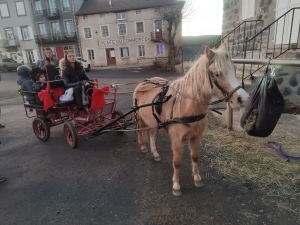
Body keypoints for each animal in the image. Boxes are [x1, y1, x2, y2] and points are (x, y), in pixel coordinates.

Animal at [134, 43, 248, 195]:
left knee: (152, 135)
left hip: (153, 122)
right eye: (217, 73)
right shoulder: (177, 140)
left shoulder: (196, 137)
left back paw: (155, 153)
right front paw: (176, 185)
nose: (243, 99)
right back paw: (142, 146)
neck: (187, 104)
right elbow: (177, 162)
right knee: (139, 131)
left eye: (235, 69)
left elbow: (195, 157)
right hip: (139, 118)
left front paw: (197, 178)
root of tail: (142, 84)